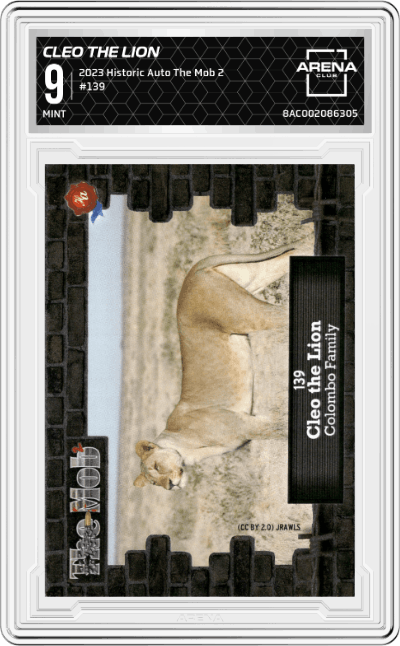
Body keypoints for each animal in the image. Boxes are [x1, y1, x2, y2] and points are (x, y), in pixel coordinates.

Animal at [133, 238, 313, 490]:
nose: (169, 485)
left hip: (251, 315)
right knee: (290, 254)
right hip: (252, 278)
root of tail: (191, 274)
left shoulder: (244, 425)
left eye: (157, 468)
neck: (185, 448)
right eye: (153, 483)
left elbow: (282, 428)